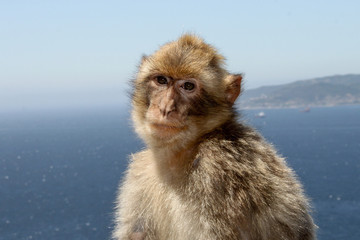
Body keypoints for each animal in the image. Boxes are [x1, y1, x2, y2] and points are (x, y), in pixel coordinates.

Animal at [112, 34, 316, 240]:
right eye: (161, 80)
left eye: (188, 86)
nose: (165, 108)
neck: (184, 151)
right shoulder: (140, 171)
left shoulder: (217, 171)